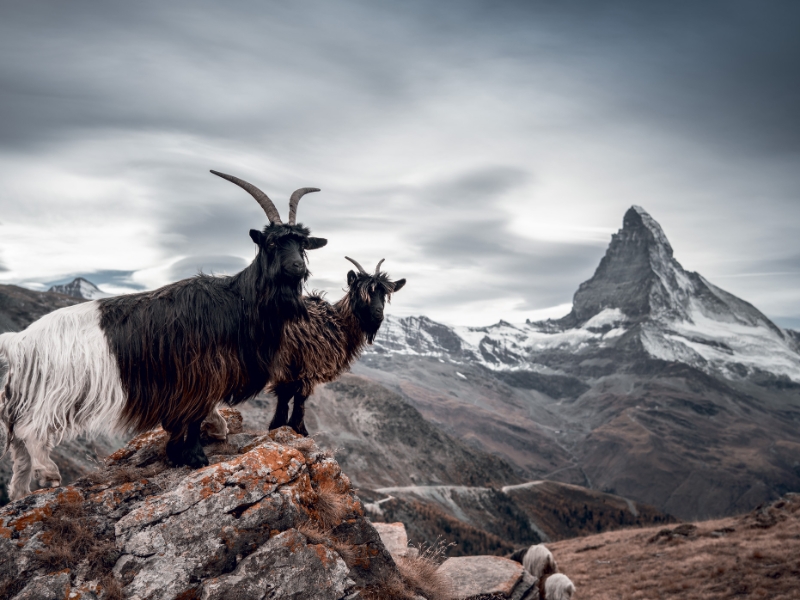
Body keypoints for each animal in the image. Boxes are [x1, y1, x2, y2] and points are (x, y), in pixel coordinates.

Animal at [0, 171, 326, 501]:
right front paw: (194, 456)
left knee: (19, 450)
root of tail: (18, 341)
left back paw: (21, 492)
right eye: (272, 242)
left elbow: (200, 410)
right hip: (56, 392)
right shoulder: (200, 372)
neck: (238, 301)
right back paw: (49, 474)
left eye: (302, 244)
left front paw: (212, 431)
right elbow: (194, 415)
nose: (297, 267)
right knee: (30, 432)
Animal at [204, 256, 405, 439]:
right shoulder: (308, 364)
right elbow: (299, 397)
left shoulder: (292, 367)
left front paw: (279, 425)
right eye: (361, 293)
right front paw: (299, 429)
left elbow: (285, 394)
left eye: (384, 295)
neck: (338, 322)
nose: (378, 314)